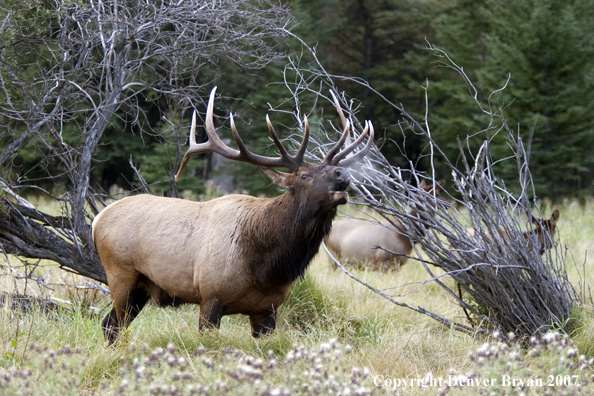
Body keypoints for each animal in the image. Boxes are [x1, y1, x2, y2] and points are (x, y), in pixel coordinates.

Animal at [91, 88, 374, 342]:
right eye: (305, 175)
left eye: (334, 169)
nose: (342, 174)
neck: (267, 266)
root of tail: (97, 219)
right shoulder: (210, 296)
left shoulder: (267, 309)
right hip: (120, 274)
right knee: (113, 324)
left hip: (142, 287)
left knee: (109, 324)